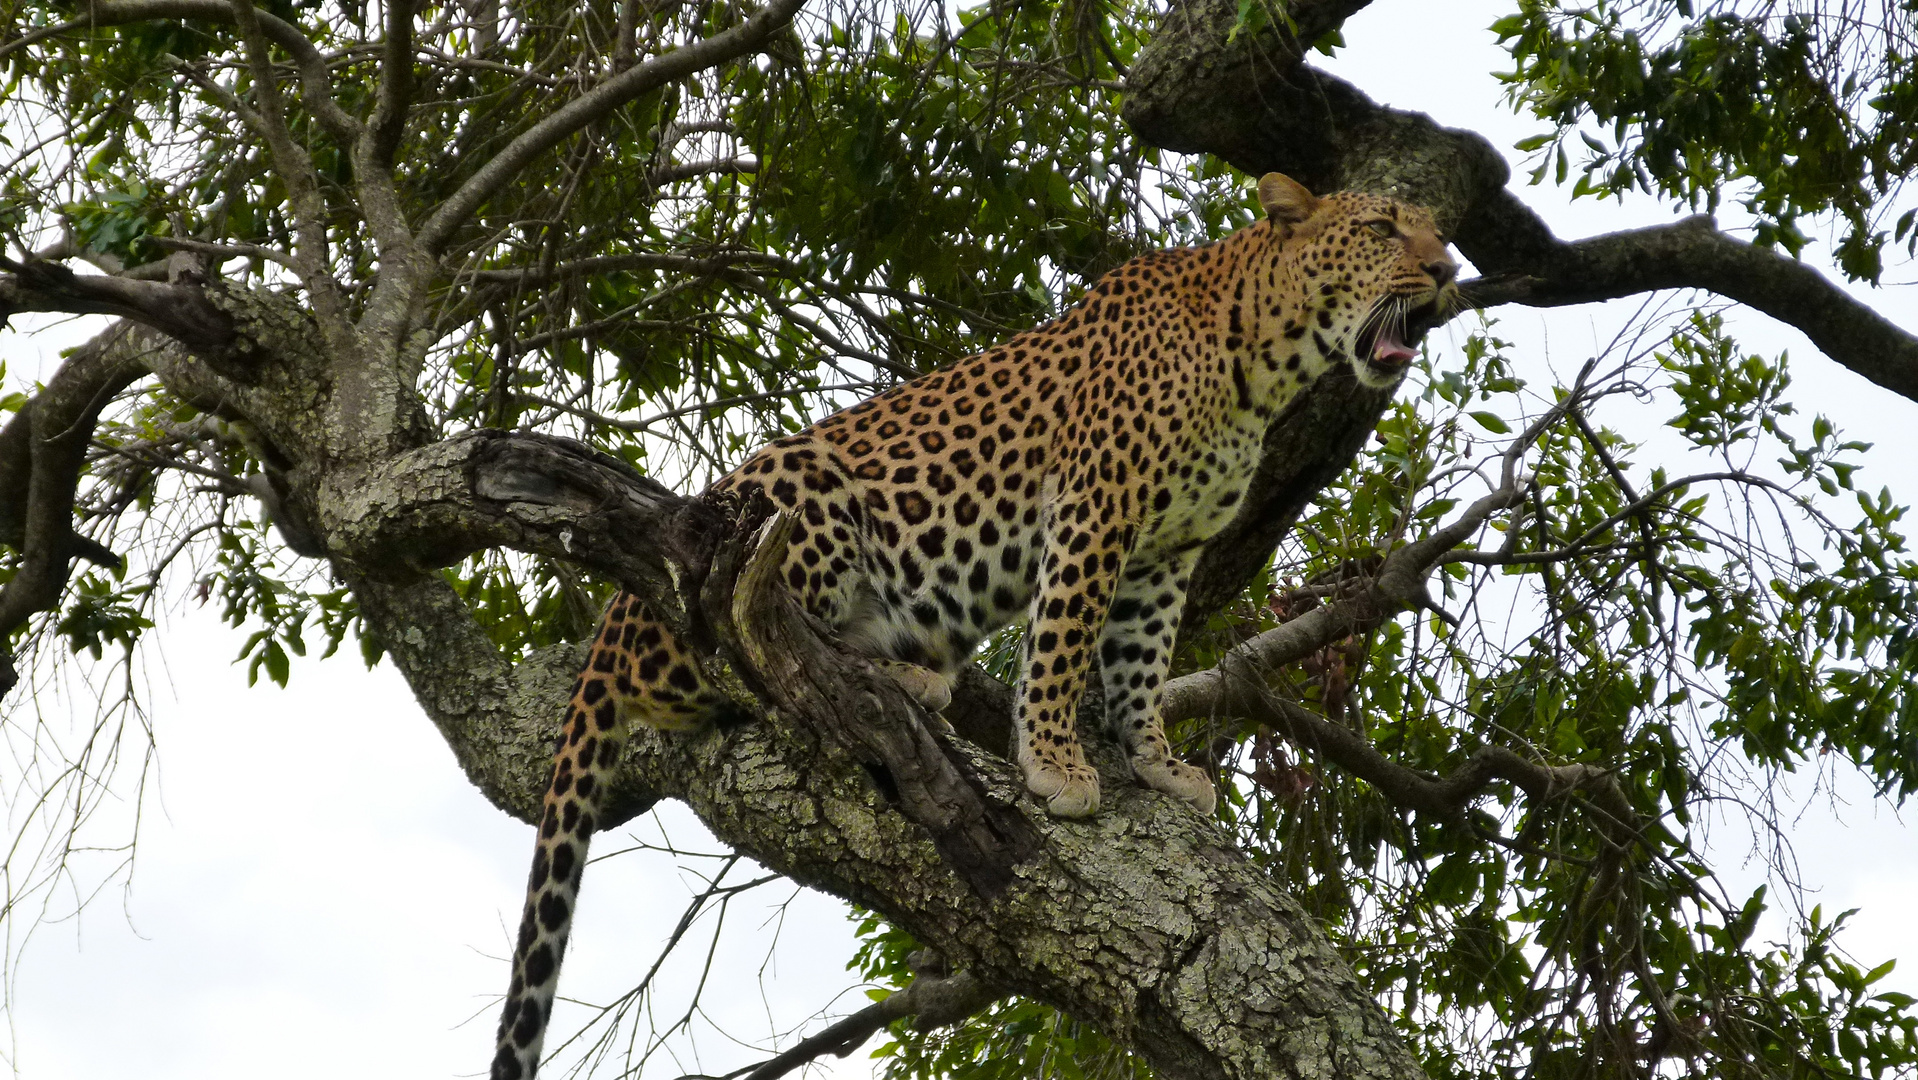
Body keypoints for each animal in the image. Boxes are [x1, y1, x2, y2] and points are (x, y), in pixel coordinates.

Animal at [491, 173, 1450, 1074]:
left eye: (1437, 230)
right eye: (1381, 228)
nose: (1447, 273)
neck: (1265, 357)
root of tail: (612, 625)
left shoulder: (1165, 553)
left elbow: (1140, 664)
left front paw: (1157, 762)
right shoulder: (1094, 510)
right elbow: (1063, 644)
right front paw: (1057, 763)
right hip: (794, 499)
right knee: (747, 661)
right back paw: (894, 677)